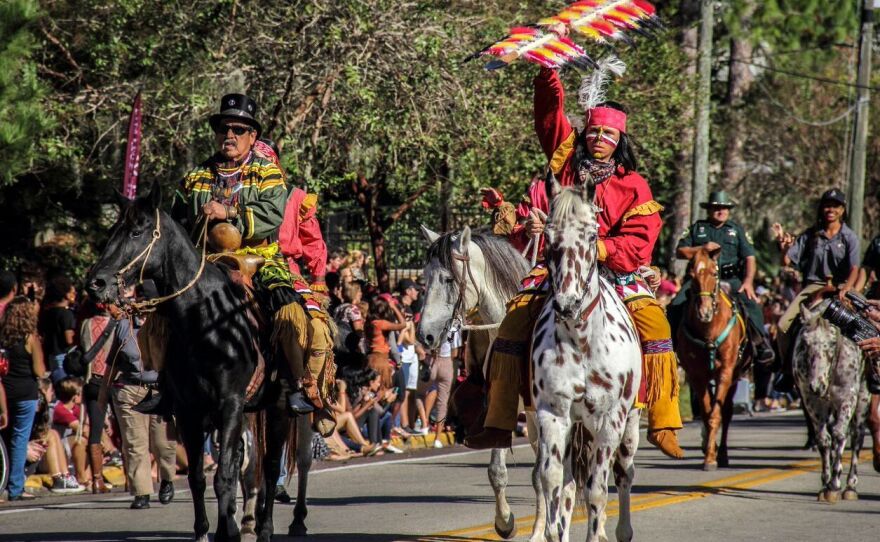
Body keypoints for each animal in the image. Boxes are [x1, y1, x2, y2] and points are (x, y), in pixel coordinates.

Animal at [87, 185, 312, 540]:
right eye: (113, 231)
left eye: (136, 231)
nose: (96, 283)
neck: (205, 321)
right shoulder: (188, 411)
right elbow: (197, 478)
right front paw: (206, 530)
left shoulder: (230, 403)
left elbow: (224, 476)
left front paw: (226, 532)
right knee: (248, 464)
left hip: (277, 406)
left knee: (271, 465)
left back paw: (267, 527)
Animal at [528, 182, 648, 542]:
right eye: (547, 235)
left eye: (592, 235)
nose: (567, 304)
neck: (581, 340)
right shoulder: (553, 414)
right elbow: (552, 480)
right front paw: (553, 531)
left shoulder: (610, 420)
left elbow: (597, 491)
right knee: (569, 483)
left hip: (628, 425)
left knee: (623, 474)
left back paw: (622, 530)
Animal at [672, 246, 748, 472]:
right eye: (691, 276)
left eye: (714, 274)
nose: (704, 312)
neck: (708, 331)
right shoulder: (697, 376)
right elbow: (706, 414)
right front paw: (708, 452)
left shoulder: (725, 373)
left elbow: (716, 414)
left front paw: (712, 458)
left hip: (734, 377)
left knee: (727, 413)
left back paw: (722, 454)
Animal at [796, 300, 868, 504]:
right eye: (805, 343)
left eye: (832, 342)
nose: (817, 385)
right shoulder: (812, 402)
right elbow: (824, 439)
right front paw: (825, 484)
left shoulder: (847, 397)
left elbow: (838, 434)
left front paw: (835, 483)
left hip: (862, 398)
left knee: (856, 435)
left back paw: (850, 485)